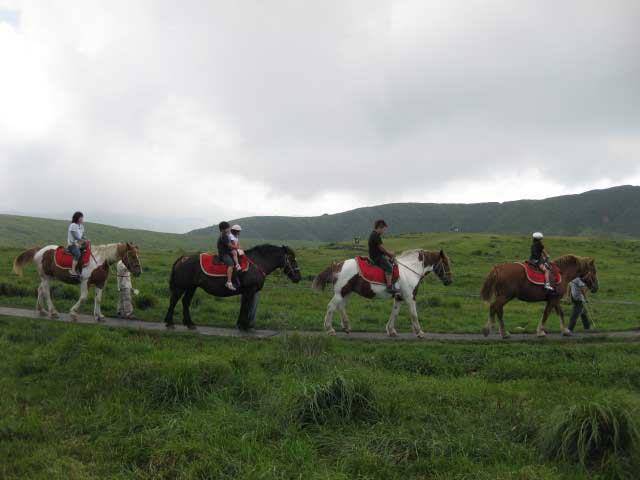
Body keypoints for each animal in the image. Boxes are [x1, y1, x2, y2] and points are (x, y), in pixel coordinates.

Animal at [12, 244, 141, 322]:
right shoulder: (85, 281)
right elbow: (83, 298)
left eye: (138, 255)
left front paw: (99, 316)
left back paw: (41, 310)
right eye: (132, 255)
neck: (100, 261)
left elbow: (98, 299)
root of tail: (39, 250)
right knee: (46, 293)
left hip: (47, 277)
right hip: (46, 277)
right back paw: (53, 312)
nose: (139, 272)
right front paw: (73, 313)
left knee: (40, 290)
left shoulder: (100, 283)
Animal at [164, 244, 302, 330]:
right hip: (182, 286)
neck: (257, 263)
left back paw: (190, 324)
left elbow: (244, 307)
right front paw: (245, 326)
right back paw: (169, 323)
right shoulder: (249, 290)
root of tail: (183, 258)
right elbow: (246, 307)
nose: (298, 278)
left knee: (186, 302)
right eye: (292, 259)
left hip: (192, 287)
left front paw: (241, 324)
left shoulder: (247, 292)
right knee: (174, 300)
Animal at [312, 251, 452, 338]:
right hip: (341, 292)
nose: (449, 281)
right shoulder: (410, 297)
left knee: (340, 307)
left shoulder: (399, 298)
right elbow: (414, 314)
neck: (410, 270)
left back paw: (346, 327)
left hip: (346, 292)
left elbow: (394, 313)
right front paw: (419, 332)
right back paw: (330, 329)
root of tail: (337, 265)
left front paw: (391, 330)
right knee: (331, 307)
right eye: (445, 263)